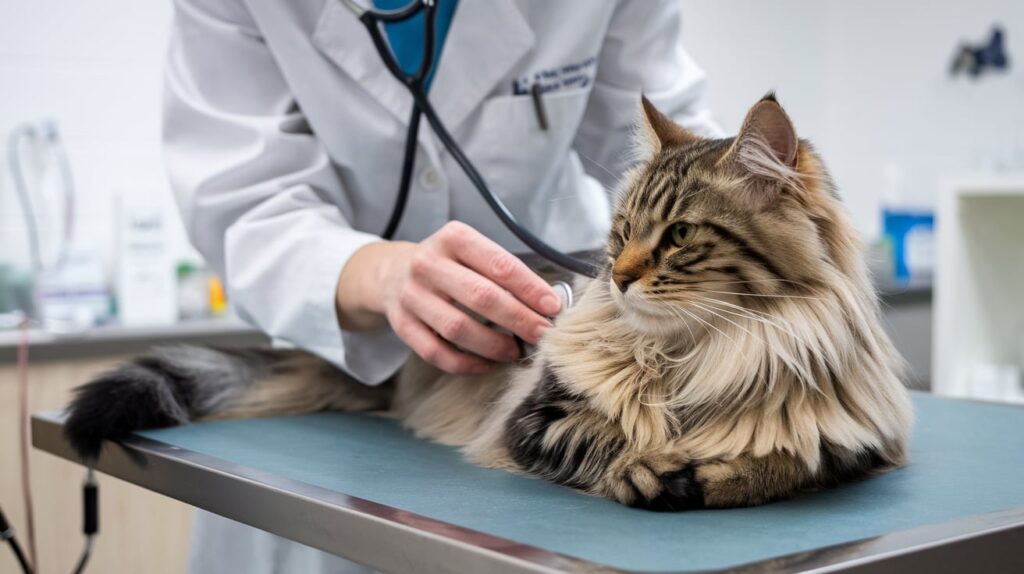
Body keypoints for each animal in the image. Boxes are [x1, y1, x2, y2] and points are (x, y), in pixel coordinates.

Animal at [64, 94, 913, 509]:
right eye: (619, 234)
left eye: (676, 237)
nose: (618, 276)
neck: (696, 354)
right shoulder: (535, 418)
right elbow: (601, 441)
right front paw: (647, 470)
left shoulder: (855, 444)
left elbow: (791, 462)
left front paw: (708, 471)